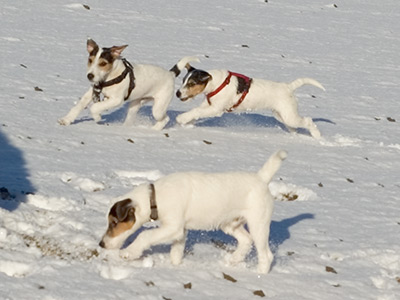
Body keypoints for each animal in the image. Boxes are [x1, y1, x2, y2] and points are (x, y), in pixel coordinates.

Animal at [58, 39, 198, 129]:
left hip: (158, 108)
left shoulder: (116, 99)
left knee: (165, 119)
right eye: (90, 60)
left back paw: (153, 131)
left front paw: (97, 117)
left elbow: (95, 107)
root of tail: (170, 74)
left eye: (103, 63)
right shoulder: (91, 92)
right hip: (135, 105)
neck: (108, 77)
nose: (90, 76)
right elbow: (78, 106)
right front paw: (66, 120)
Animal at [100, 149, 288, 274]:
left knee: (266, 255)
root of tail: (261, 179)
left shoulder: (173, 227)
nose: (101, 244)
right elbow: (176, 252)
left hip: (258, 224)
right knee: (246, 241)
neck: (155, 197)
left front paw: (129, 252)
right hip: (230, 224)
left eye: (114, 222)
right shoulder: (180, 231)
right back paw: (233, 260)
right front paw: (175, 267)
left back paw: (259, 275)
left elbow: (144, 235)